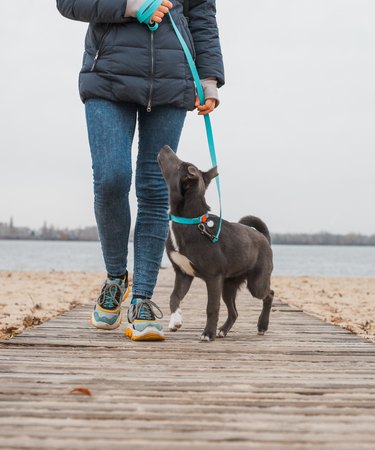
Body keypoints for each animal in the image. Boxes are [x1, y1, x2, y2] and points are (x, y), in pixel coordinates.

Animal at [157, 147, 274, 342]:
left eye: (180, 164)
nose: (165, 147)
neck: (190, 222)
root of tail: (264, 237)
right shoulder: (183, 274)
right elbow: (174, 297)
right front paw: (175, 320)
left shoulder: (213, 278)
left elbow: (212, 307)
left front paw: (207, 333)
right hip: (228, 285)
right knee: (234, 312)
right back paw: (223, 330)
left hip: (256, 283)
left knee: (269, 294)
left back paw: (262, 326)